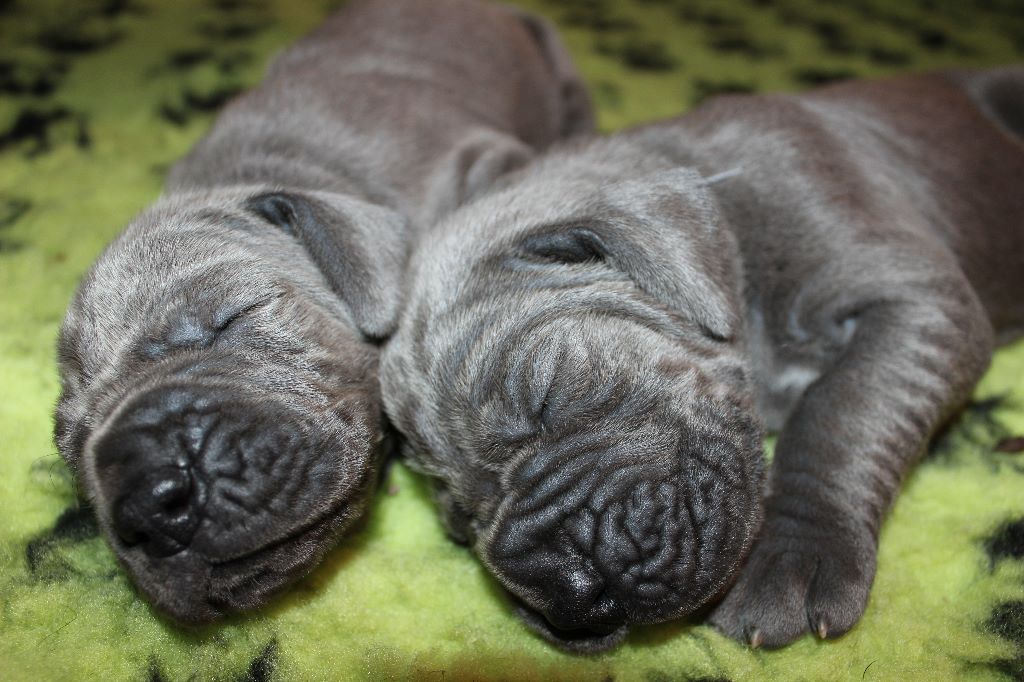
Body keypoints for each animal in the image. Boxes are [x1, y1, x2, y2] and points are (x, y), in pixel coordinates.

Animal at [382, 67, 1024, 647]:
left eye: (546, 397)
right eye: (460, 519)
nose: (565, 589)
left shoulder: (918, 297)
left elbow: (840, 415)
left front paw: (796, 555)